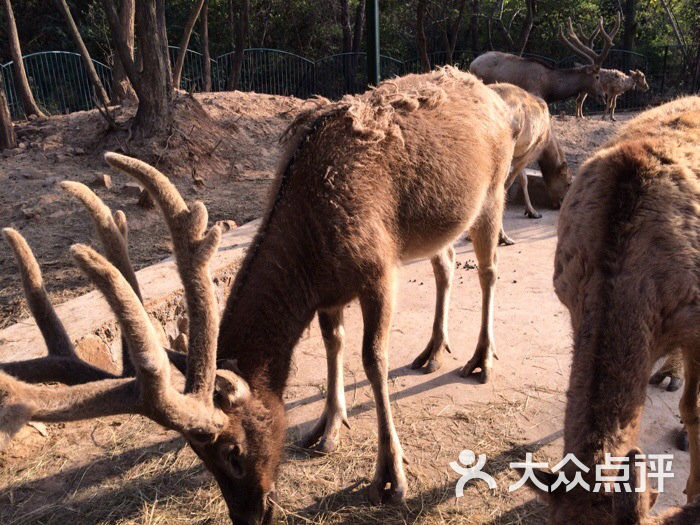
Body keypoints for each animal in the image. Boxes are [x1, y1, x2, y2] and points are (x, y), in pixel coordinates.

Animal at [0, 67, 516, 520]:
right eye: (199, 458)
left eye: (232, 450)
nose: (250, 515)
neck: (312, 251)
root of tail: (491, 92)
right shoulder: (330, 293)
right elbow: (333, 344)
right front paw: (327, 429)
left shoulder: (378, 271)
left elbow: (372, 359)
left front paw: (390, 477)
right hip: (439, 225)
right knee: (445, 264)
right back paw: (432, 351)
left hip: (493, 191)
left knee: (488, 271)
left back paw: (481, 359)